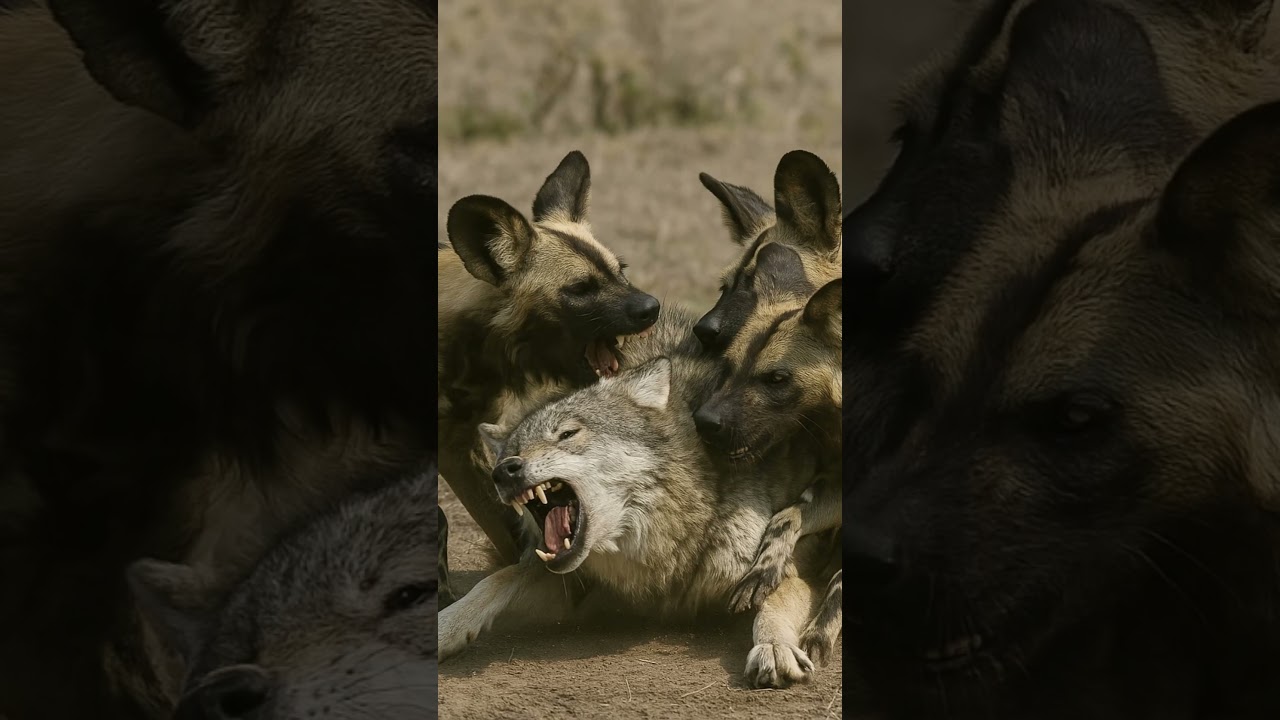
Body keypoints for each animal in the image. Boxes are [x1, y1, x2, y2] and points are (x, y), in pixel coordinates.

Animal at [438, 355, 838, 689]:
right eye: (512, 451)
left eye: (567, 434)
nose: (504, 471)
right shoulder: (576, 586)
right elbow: (500, 578)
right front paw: (447, 625)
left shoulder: (780, 571)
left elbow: (772, 606)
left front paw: (773, 648)